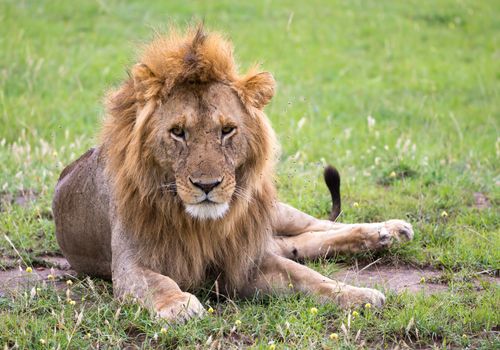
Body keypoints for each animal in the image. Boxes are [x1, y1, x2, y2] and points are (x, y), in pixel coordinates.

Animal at [53, 26, 414, 322]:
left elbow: (309, 278)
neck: (201, 225)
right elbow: (156, 282)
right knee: (302, 241)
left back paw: (389, 230)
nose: (207, 185)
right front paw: (179, 305)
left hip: (270, 211)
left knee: (319, 226)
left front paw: (357, 295)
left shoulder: (244, 260)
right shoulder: (130, 263)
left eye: (227, 130)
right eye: (178, 132)